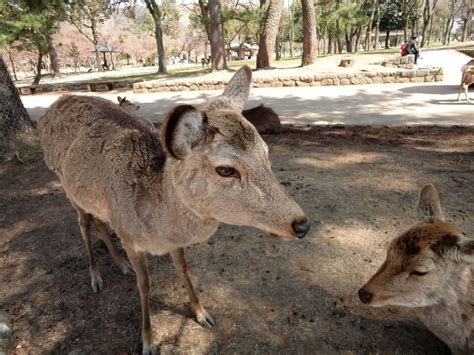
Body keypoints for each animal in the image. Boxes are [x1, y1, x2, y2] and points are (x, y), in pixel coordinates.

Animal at [38, 66, 312, 354]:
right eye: (225, 169)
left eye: (266, 153)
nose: (301, 224)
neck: (158, 226)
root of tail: (51, 108)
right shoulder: (130, 237)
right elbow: (145, 285)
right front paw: (148, 341)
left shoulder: (170, 240)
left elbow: (183, 269)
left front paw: (202, 314)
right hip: (65, 185)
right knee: (83, 223)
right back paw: (96, 277)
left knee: (98, 221)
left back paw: (121, 265)